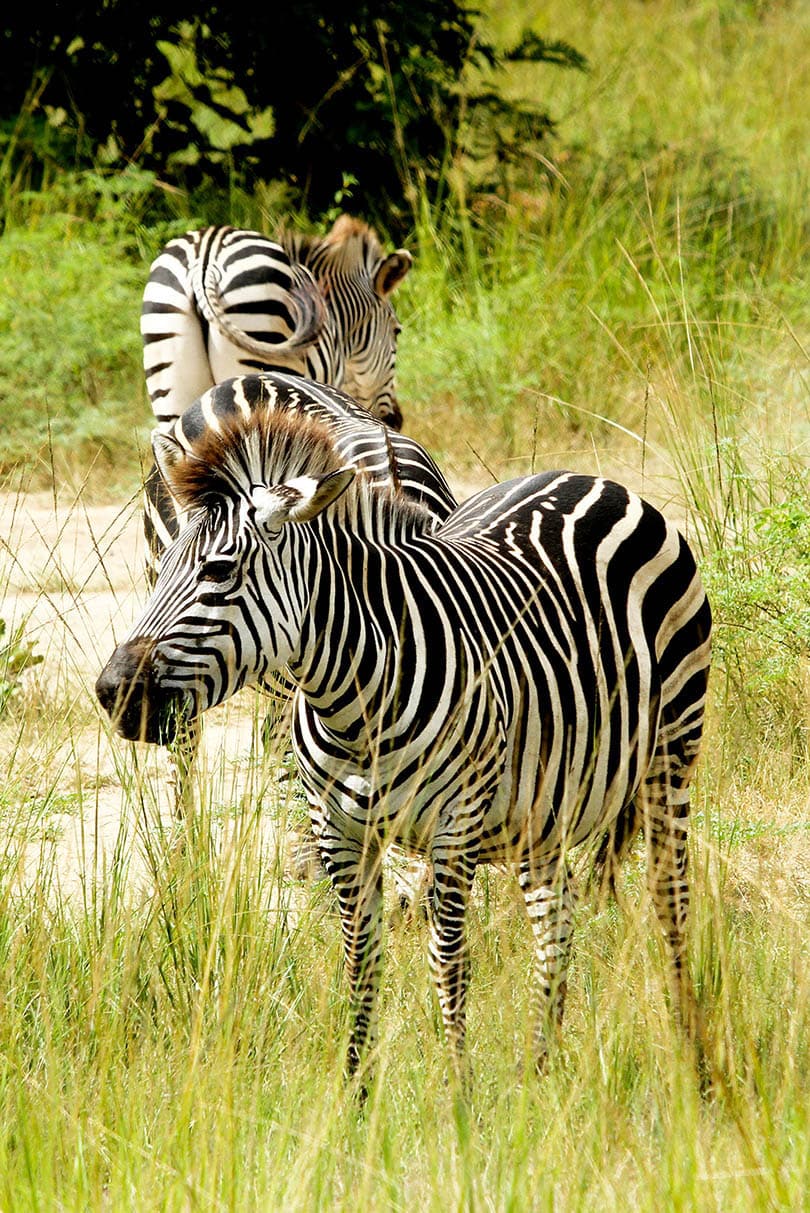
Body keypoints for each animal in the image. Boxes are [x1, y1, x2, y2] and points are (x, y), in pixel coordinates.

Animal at [95, 395, 712, 1081]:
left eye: (219, 571)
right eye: (161, 569)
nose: (114, 691)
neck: (354, 704)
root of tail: (593, 479)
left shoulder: (454, 828)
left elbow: (449, 963)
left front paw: (460, 1093)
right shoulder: (336, 831)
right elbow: (360, 963)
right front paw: (356, 1094)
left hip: (672, 752)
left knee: (670, 901)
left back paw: (694, 1063)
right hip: (542, 803)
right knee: (556, 926)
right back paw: (540, 1076)